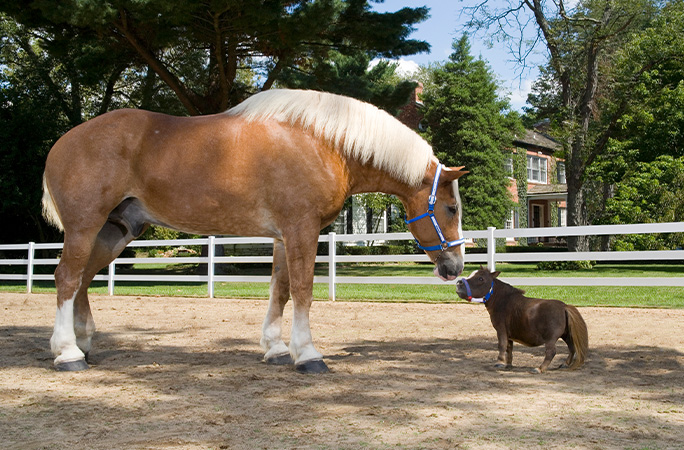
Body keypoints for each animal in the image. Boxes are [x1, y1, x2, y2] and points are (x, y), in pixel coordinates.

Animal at [44, 87, 470, 372]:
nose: (455, 267)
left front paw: (277, 349)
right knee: (67, 277)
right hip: (85, 226)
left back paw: (84, 342)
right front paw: (307, 354)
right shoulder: (302, 228)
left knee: (84, 278)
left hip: (116, 231)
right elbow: (302, 289)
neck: (324, 144)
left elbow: (279, 290)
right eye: (450, 208)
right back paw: (67, 353)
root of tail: (62, 143)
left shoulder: (284, 235)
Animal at [456, 268, 584, 372]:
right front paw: (508, 365)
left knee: (551, 352)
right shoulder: (509, 334)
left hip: (551, 339)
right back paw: (564, 364)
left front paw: (499, 362)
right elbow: (509, 348)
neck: (502, 301)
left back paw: (539, 368)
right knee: (572, 348)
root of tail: (564, 306)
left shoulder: (501, 330)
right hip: (566, 335)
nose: (459, 283)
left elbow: (502, 345)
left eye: (481, 278)